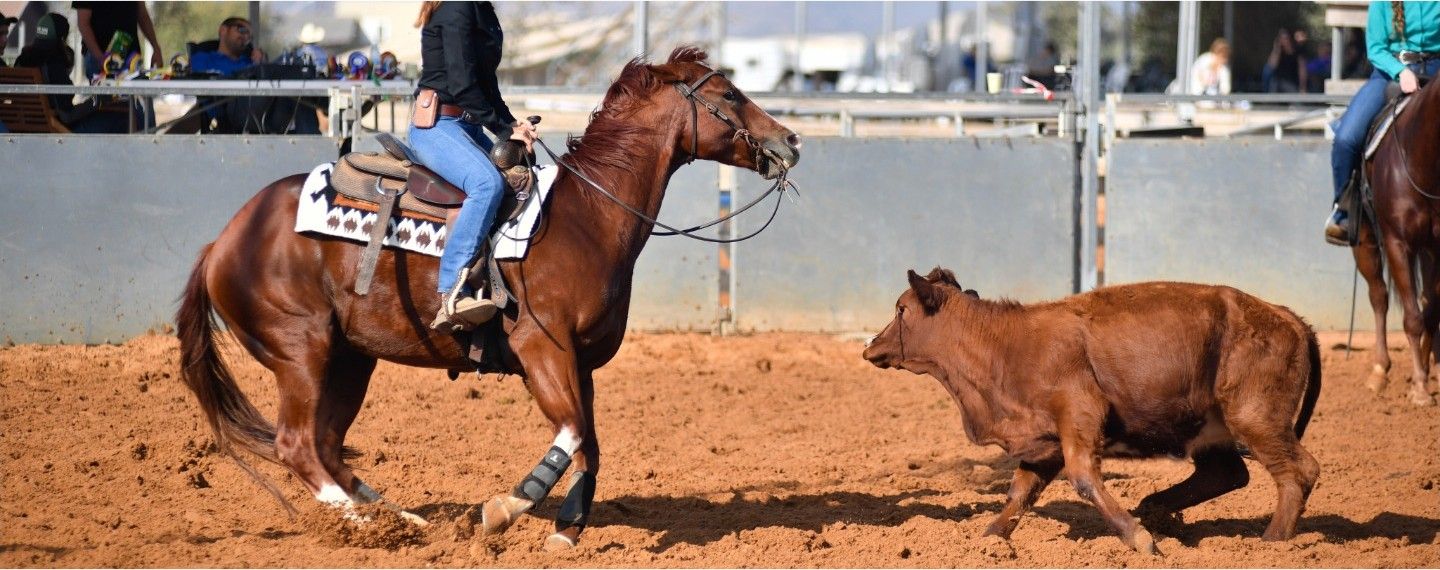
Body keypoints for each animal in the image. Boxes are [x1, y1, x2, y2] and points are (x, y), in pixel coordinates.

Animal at [175, 46, 801, 550]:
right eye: (729, 93)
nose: (790, 140)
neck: (586, 216)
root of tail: (223, 241)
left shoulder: (581, 362)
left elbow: (590, 443)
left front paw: (566, 529)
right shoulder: (541, 350)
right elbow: (572, 431)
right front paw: (505, 509)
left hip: (350, 357)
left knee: (326, 443)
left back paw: (400, 519)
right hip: (301, 350)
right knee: (296, 444)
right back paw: (368, 527)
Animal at [862, 268, 1322, 554]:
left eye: (901, 309)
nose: (870, 347)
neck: (1003, 344)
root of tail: (1285, 315)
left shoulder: (1079, 413)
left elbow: (1082, 478)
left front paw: (1138, 539)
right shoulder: (1042, 443)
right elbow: (1019, 493)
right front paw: (989, 538)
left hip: (1255, 417)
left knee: (1298, 471)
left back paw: (1273, 542)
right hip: (1212, 428)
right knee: (1226, 473)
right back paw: (1157, 509)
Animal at [1352, 77, 1440, 406]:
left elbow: (1429, 311)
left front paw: (1422, 376)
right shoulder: (1396, 243)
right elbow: (1412, 317)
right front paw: (1420, 389)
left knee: (1426, 300)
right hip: (1365, 241)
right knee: (1379, 295)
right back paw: (1379, 372)